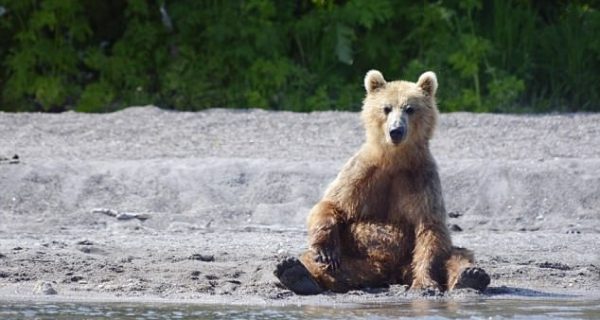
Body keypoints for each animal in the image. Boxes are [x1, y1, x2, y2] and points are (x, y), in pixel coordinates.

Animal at [274, 70, 490, 296]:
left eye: (410, 108)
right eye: (386, 108)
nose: (396, 130)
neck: (394, 158)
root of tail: (386, 273)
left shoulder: (421, 179)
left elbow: (430, 229)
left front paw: (425, 284)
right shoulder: (362, 173)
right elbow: (332, 203)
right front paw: (326, 251)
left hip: (407, 258)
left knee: (457, 255)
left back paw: (471, 276)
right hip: (356, 256)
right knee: (315, 261)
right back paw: (294, 272)